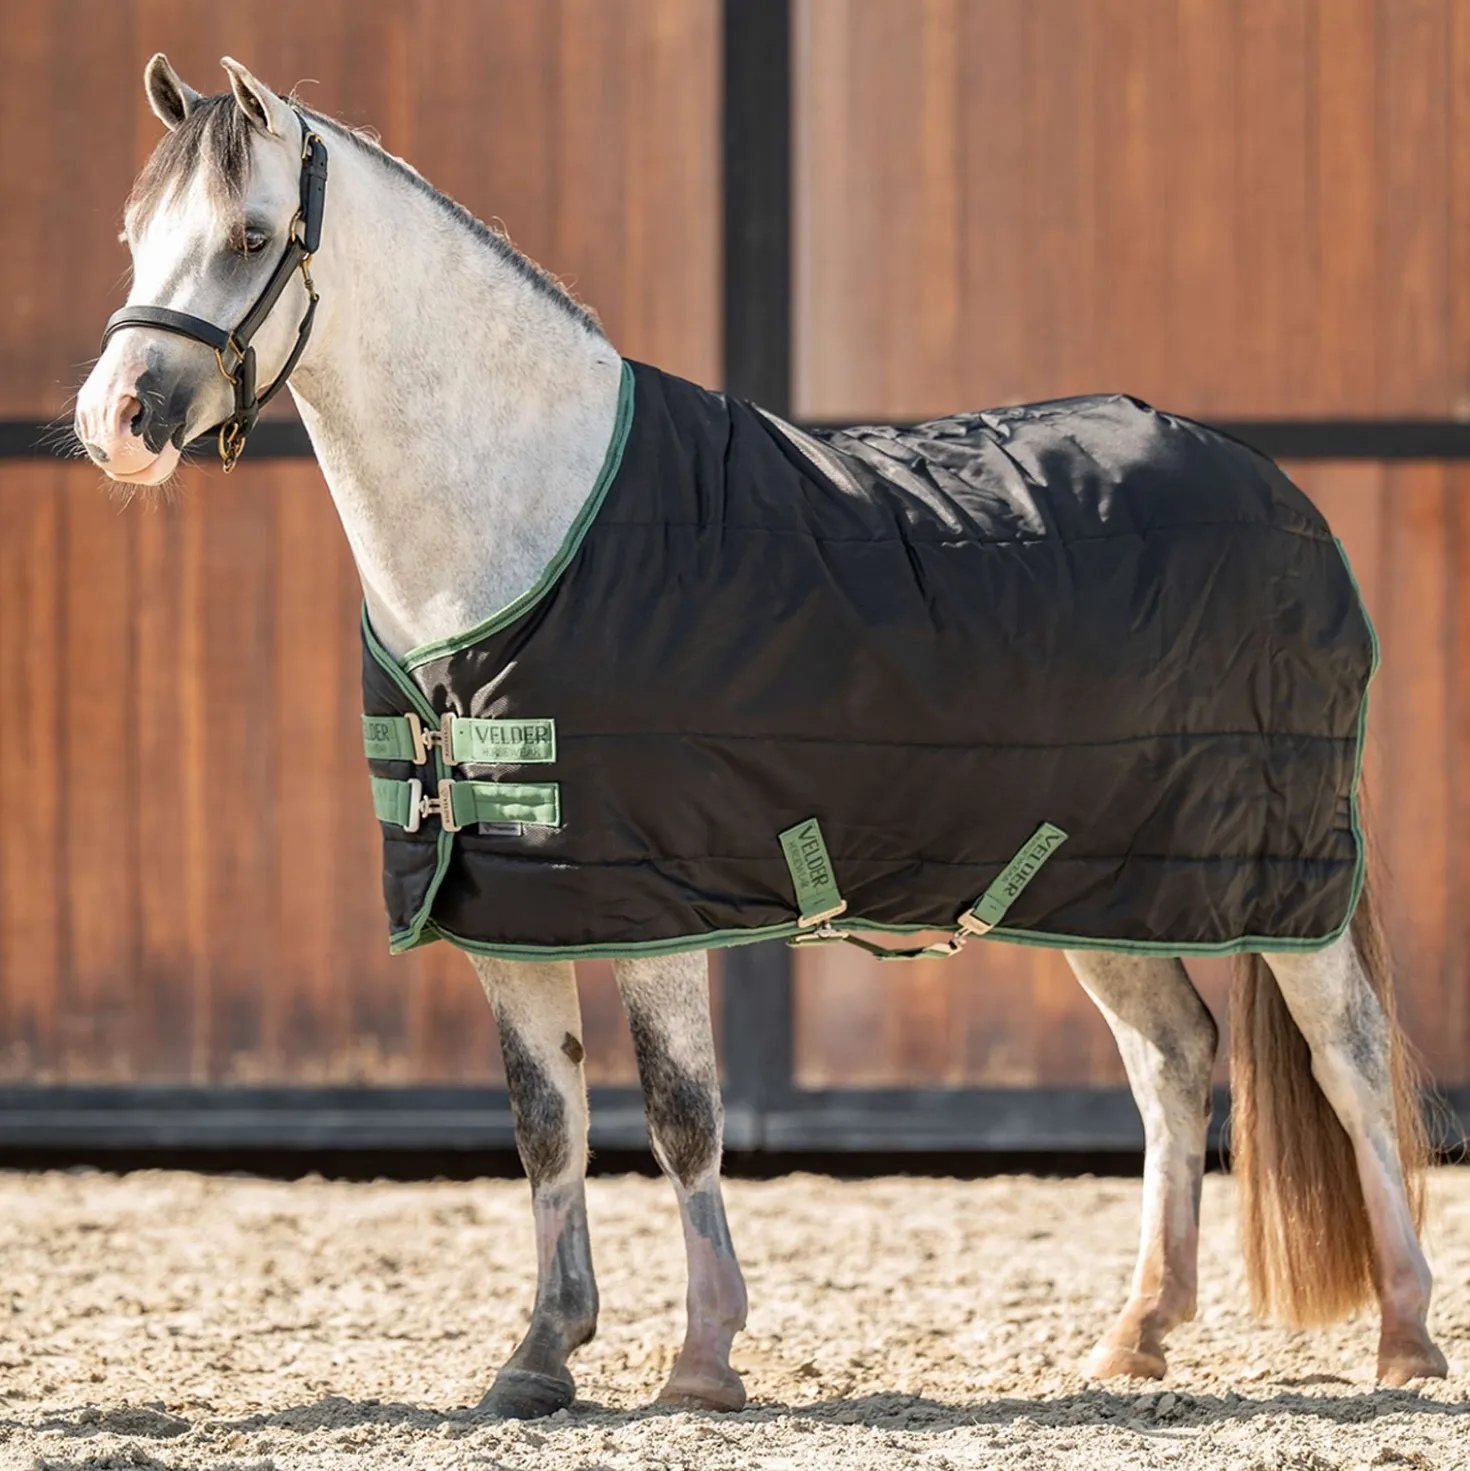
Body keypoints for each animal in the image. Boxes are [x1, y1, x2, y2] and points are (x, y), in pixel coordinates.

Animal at [73, 56, 1448, 1417]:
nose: (115, 423)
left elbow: (682, 1115)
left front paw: (701, 1358)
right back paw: (1135, 1336)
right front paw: (541, 1354)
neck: (535, 521)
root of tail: (1278, 493)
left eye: (252, 235)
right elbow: (546, 1122)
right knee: (1171, 1058)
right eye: (134, 235)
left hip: (1282, 883)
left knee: (1347, 1054)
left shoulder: (655, 902)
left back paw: (1404, 1339)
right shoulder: (510, 906)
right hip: (1093, 879)